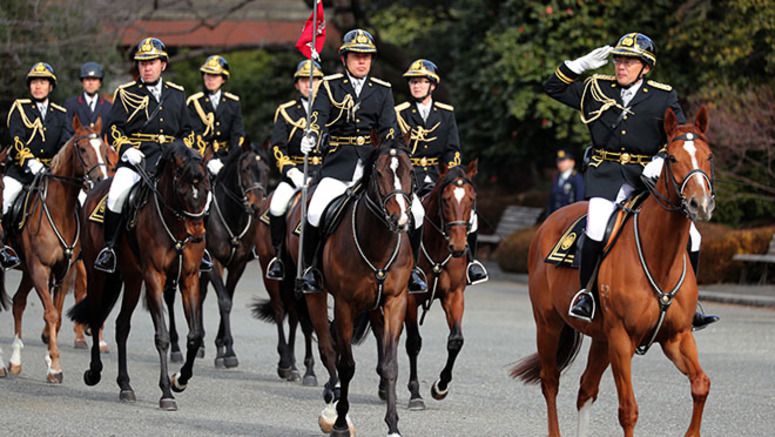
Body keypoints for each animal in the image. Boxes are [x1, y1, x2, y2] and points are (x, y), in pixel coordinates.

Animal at [6, 116, 109, 382]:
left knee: (19, 302)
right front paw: (54, 366)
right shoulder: (40, 269)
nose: (100, 180)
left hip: (27, 272)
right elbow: (51, 313)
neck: (58, 210)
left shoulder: (62, 271)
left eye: (103, 148)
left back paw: (14, 361)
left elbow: (57, 315)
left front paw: (51, 358)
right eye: (82, 149)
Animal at [68, 141, 209, 408]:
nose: (197, 235)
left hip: (132, 279)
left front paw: (179, 380)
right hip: (98, 275)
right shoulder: (154, 277)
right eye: (182, 189)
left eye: (207, 188)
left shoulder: (190, 278)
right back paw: (94, 372)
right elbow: (162, 336)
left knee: (122, 325)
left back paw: (125, 385)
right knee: (96, 317)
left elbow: (195, 336)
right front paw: (166, 392)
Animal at [165, 142, 268, 364]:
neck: (232, 217)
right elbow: (224, 301)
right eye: (245, 168)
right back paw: (177, 348)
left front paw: (222, 347)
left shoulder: (238, 265)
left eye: (266, 170)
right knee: (169, 297)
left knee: (200, 295)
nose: (256, 206)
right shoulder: (214, 261)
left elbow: (227, 298)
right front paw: (229, 352)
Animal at [284, 141, 416, 434]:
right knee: (327, 348)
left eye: (410, 172)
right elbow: (346, 365)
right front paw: (341, 422)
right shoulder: (345, 304)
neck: (377, 243)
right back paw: (331, 400)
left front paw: (393, 425)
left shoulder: (395, 301)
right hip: (315, 294)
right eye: (379, 173)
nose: (400, 219)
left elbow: (390, 364)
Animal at [512, 106, 712, 436]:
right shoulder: (621, 340)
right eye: (671, 158)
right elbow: (628, 410)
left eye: (709, 156)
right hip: (549, 324)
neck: (660, 257)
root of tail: (550, 219)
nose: (700, 204)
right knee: (550, 381)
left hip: (601, 338)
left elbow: (700, 385)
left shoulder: (677, 337)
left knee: (586, 388)